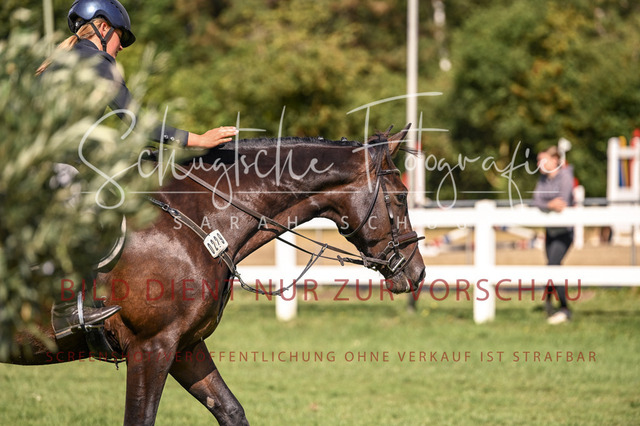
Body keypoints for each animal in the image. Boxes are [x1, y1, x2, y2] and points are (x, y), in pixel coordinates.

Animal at [7, 124, 426, 425]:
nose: (418, 272)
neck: (195, 222)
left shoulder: (184, 346)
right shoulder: (150, 347)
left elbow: (230, 410)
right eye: (401, 196)